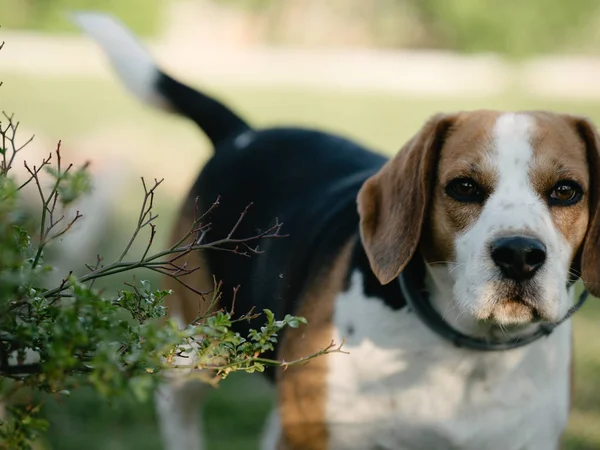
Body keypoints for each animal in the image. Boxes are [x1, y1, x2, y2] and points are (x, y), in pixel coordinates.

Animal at [72, 13, 596, 450]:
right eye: (464, 187)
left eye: (567, 191)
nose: (520, 255)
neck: (465, 352)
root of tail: (243, 133)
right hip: (193, 350)